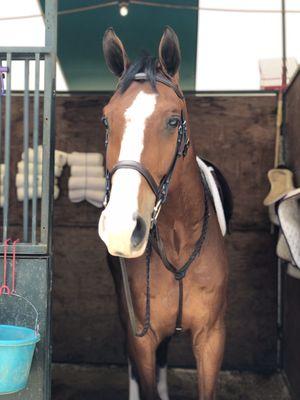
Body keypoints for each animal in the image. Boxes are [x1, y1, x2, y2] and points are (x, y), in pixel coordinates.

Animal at [98, 26, 230, 398]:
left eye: (173, 121)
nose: (121, 228)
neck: (178, 239)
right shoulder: (142, 335)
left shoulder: (211, 338)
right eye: (107, 120)